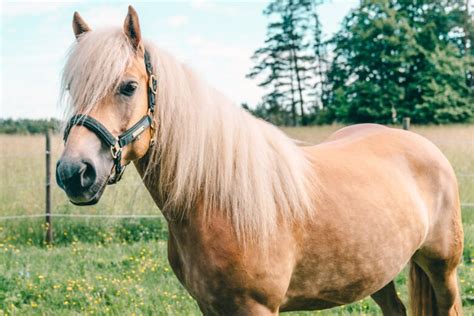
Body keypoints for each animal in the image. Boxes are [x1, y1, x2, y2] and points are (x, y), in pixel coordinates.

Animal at [57, 5, 464, 316]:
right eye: (73, 88)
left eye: (128, 87)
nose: (73, 173)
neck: (216, 201)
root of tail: (421, 144)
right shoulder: (210, 306)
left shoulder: (256, 308)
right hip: (377, 272)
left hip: (443, 270)